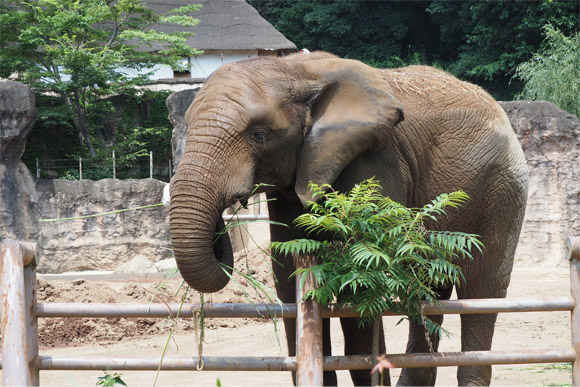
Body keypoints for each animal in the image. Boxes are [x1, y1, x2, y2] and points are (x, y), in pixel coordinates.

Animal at [169, 50, 532, 386]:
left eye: (258, 135)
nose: (228, 209)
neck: (294, 69)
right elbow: (288, 276)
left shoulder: (374, 160)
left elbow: (360, 276)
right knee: (429, 287)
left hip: (500, 187)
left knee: (481, 286)